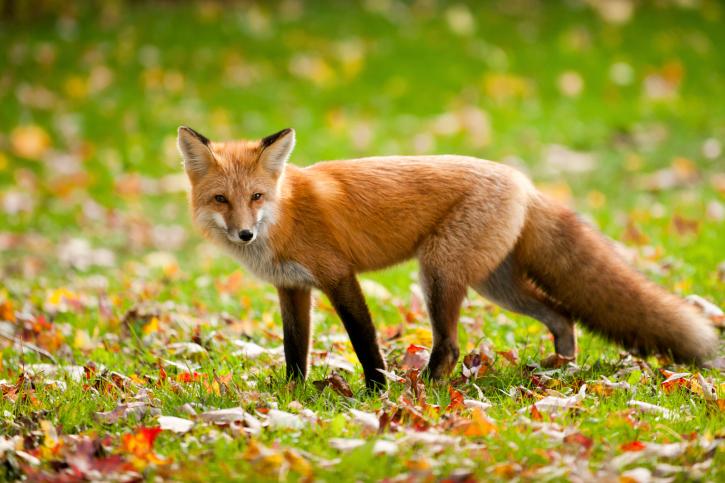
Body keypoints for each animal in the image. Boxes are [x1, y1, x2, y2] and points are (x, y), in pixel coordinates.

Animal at [177, 126, 718, 390]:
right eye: (222, 200)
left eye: (257, 196)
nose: (245, 233)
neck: (286, 213)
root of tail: (523, 181)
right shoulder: (292, 288)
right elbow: (295, 350)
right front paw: (293, 394)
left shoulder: (339, 276)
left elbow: (364, 342)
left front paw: (375, 392)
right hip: (495, 285)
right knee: (562, 315)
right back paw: (558, 368)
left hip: (438, 274)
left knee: (452, 345)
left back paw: (426, 392)